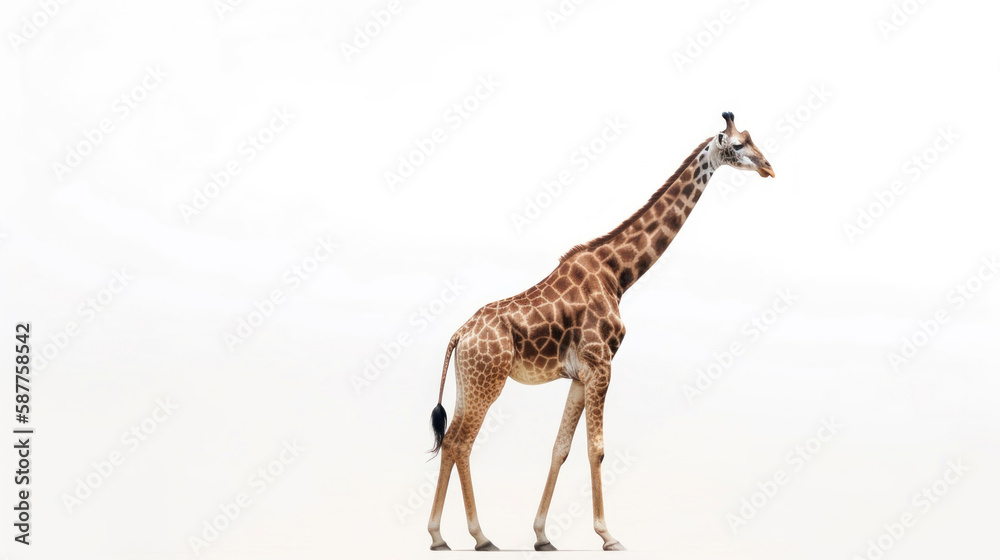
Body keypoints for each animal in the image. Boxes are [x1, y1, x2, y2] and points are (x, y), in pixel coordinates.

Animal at [426, 112, 774, 551]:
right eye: (737, 144)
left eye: (751, 139)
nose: (768, 167)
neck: (618, 274)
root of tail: (458, 334)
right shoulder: (602, 364)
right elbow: (597, 449)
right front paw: (609, 536)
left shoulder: (580, 374)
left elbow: (560, 448)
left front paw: (543, 536)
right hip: (488, 380)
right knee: (460, 442)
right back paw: (479, 536)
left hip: (467, 381)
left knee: (451, 441)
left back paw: (439, 536)